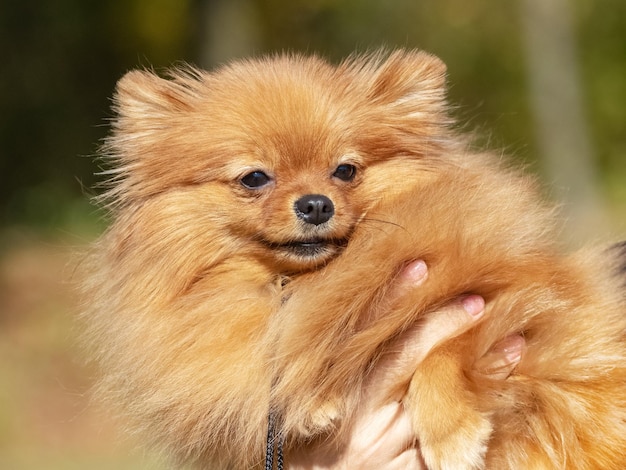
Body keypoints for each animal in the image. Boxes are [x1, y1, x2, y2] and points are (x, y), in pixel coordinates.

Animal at [83, 49, 624, 468]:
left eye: (345, 170)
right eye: (255, 178)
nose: (316, 204)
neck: (305, 283)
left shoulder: (537, 297)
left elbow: (447, 350)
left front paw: (452, 437)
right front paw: (315, 400)